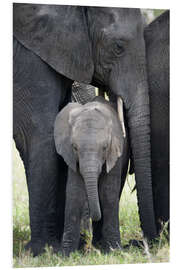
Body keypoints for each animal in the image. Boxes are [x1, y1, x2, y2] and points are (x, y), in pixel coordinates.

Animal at [54, 96, 129, 255]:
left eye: (105, 147)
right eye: (75, 147)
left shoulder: (115, 152)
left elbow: (108, 193)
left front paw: (114, 250)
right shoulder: (71, 157)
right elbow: (75, 193)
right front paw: (65, 254)